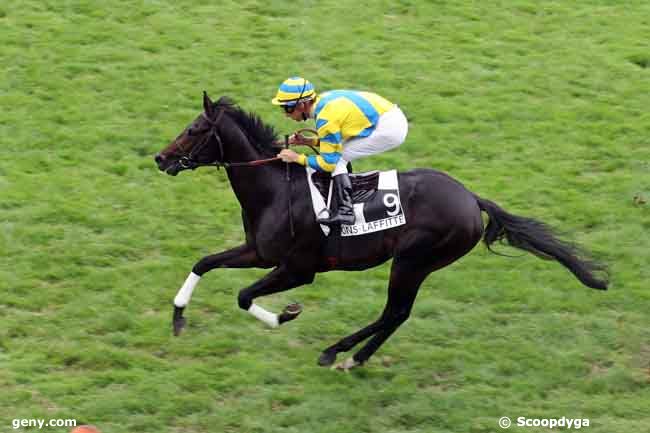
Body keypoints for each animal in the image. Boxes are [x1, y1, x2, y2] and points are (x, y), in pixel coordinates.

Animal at [153, 91, 608, 368]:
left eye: (194, 130)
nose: (160, 158)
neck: (276, 191)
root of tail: (471, 198)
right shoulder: (259, 253)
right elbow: (204, 262)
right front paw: (177, 316)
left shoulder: (298, 269)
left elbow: (244, 296)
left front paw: (286, 315)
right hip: (415, 263)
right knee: (396, 314)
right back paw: (351, 357)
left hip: (412, 260)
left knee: (395, 312)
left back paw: (339, 352)